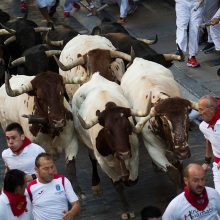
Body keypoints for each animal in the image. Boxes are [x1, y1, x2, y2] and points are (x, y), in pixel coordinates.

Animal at [0, 71, 89, 199]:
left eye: (61, 93)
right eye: (40, 97)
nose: (58, 121)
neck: (52, 130)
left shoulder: (71, 142)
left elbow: (71, 167)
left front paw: (78, 192)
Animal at [120, 57, 198, 192]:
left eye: (187, 120)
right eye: (165, 124)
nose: (183, 152)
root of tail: (137, 59)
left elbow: (179, 168)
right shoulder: (153, 150)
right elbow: (173, 172)